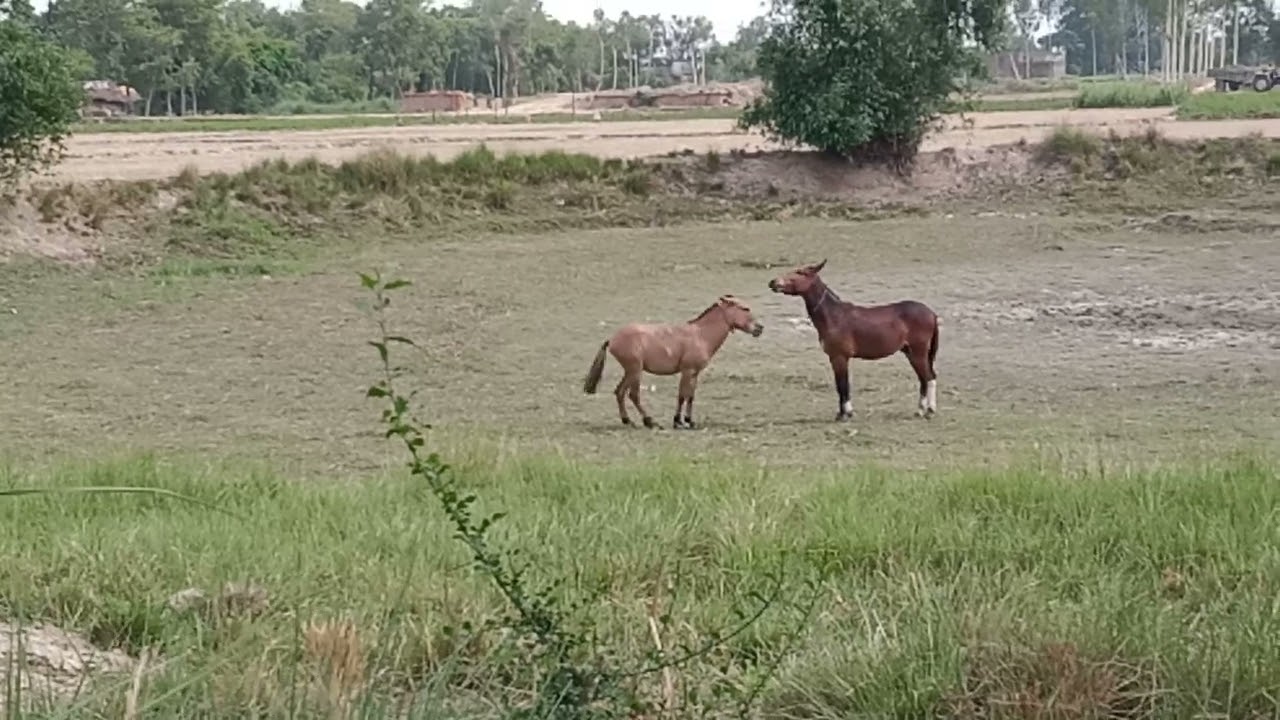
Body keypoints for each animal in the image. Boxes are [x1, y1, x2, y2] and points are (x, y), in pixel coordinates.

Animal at [582, 295, 764, 429]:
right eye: (745, 308)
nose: (759, 328)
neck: (700, 335)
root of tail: (612, 339)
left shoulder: (695, 373)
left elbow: (690, 396)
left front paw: (690, 421)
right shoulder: (687, 371)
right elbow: (682, 396)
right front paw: (678, 421)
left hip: (630, 371)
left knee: (619, 392)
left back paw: (628, 421)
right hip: (635, 371)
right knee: (632, 394)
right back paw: (650, 422)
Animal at [767, 259, 940, 421]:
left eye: (801, 272)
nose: (773, 282)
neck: (834, 316)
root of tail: (931, 313)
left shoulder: (840, 357)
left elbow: (843, 385)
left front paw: (846, 414)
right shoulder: (834, 358)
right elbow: (839, 386)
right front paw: (841, 414)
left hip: (918, 352)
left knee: (927, 378)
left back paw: (925, 410)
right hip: (910, 352)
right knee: (927, 377)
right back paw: (926, 410)